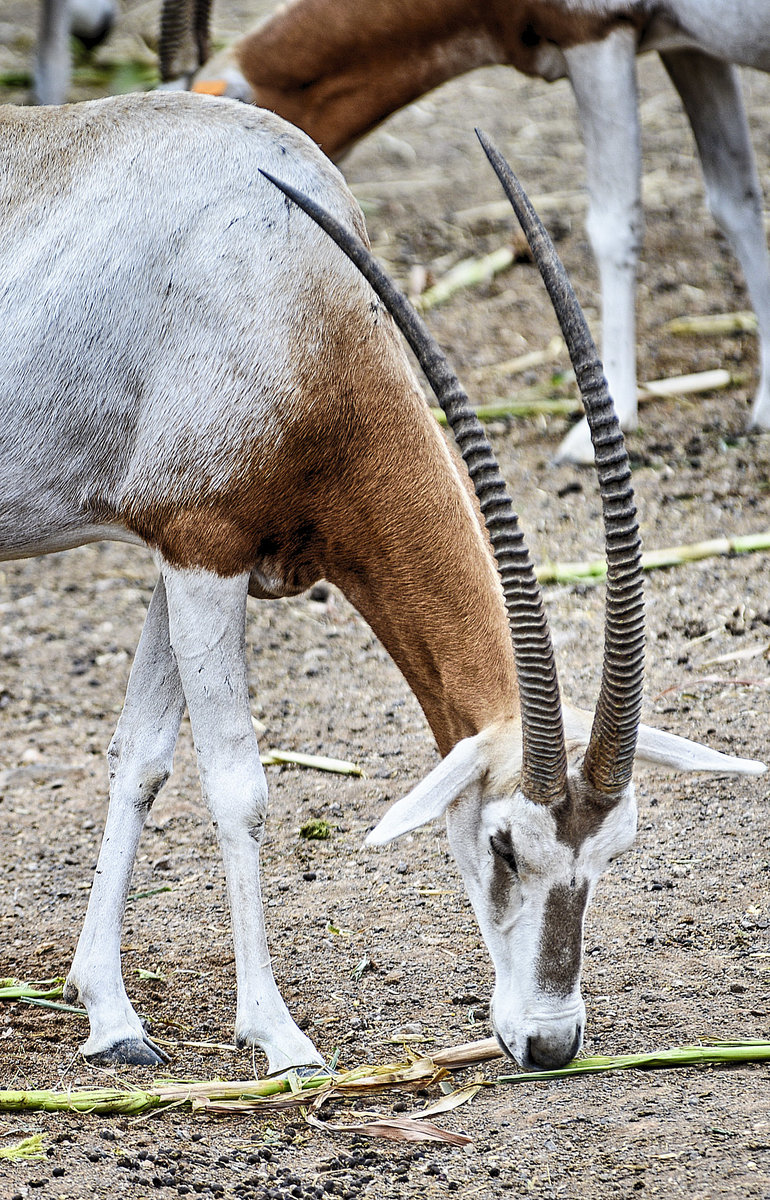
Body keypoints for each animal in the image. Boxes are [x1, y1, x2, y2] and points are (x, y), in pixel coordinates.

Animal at [2, 88, 762, 1075]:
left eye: (616, 849)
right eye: (503, 846)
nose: (551, 1042)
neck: (290, 284)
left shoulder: (189, 551)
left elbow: (142, 757)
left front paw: (110, 1014)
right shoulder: (204, 551)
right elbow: (238, 789)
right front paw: (278, 1035)